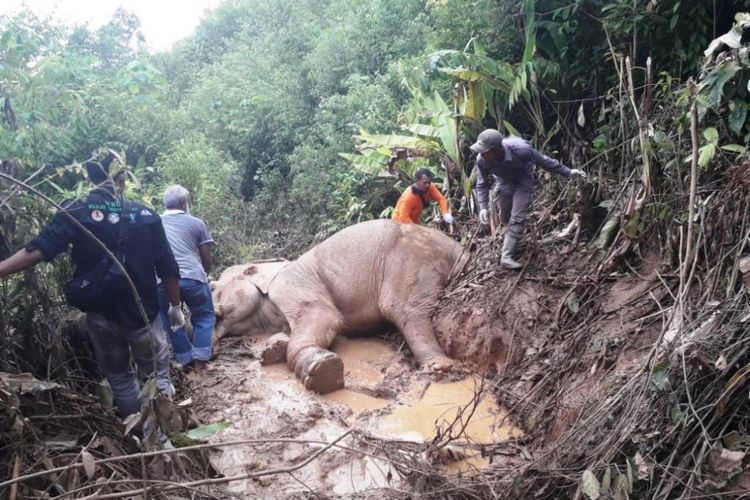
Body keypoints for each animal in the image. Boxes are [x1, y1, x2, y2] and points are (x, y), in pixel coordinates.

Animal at [212, 219, 470, 394]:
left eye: (214, 289)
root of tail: (462, 248)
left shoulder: (292, 284)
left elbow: (326, 316)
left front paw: (322, 372)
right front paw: (273, 349)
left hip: (412, 257)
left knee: (402, 309)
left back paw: (441, 367)